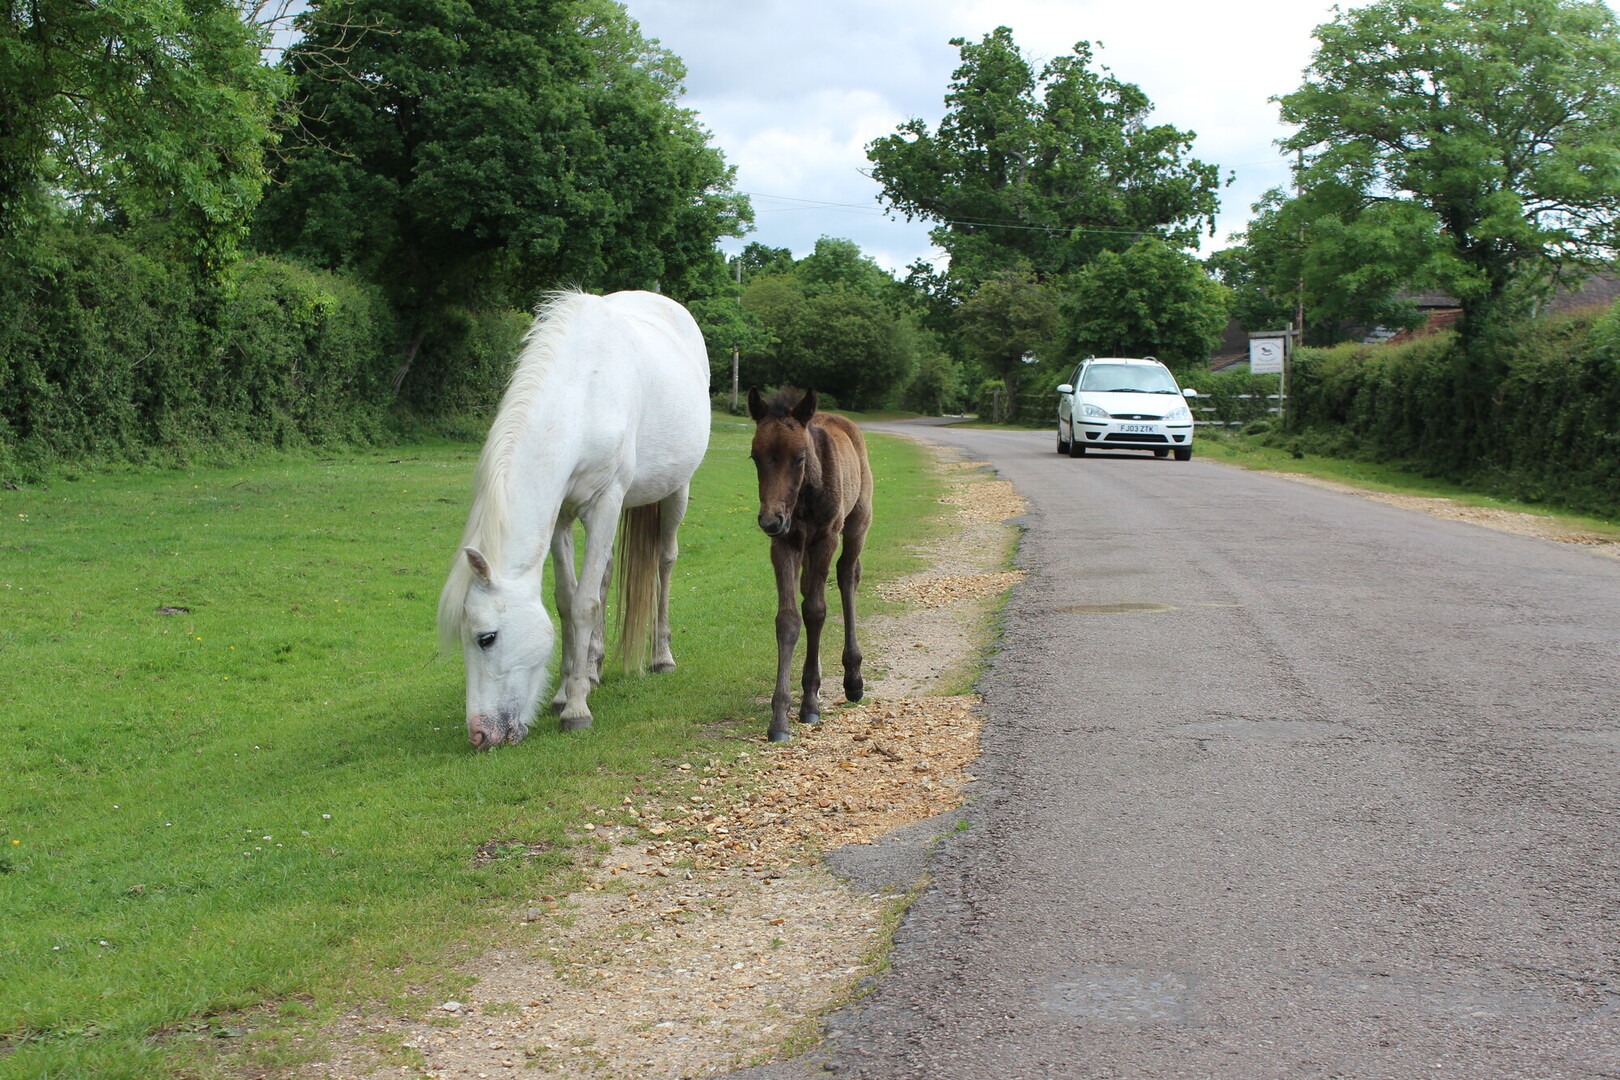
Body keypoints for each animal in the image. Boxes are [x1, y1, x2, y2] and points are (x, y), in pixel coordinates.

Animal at [437, 290, 711, 748]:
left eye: (486, 638)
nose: (479, 735)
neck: (583, 394)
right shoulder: (562, 516)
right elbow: (569, 600)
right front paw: (567, 691)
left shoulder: (605, 504)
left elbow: (584, 604)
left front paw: (577, 709)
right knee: (605, 575)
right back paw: (594, 666)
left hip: (678, 490)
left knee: (664, 562)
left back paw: (661, 657)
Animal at [746, 386, 874, 742]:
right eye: (755, 457)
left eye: (800, 457)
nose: (770, 520)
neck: (802, 500)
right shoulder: (785, 543)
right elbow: (789, 619)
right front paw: (779, 718)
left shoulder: (825, 538)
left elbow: (816, 611)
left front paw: (809, 705)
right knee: (809, 590)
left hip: (858, 521)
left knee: (847, 575)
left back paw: (853, 679)